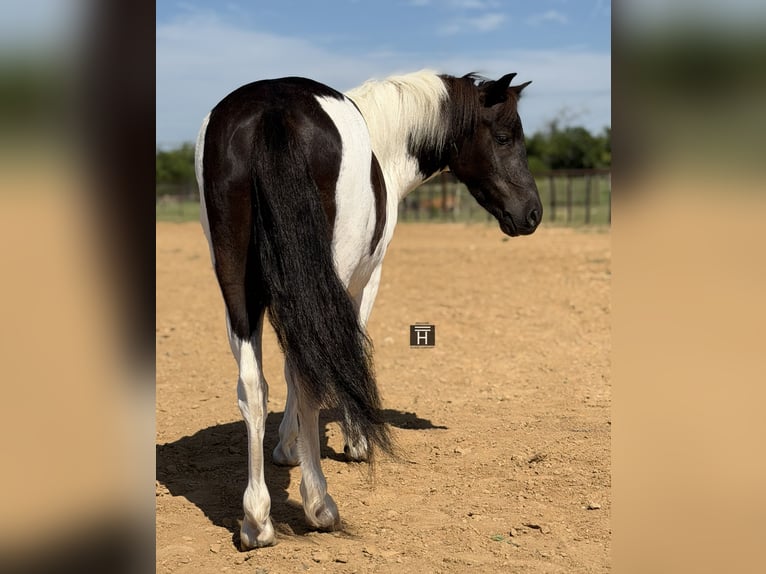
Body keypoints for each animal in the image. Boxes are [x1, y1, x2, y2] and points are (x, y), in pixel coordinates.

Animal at [194, 70, 542, 549]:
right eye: (505, 137)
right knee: (310, 373)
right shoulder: (365, 282)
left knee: (253, 385)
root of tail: (272, 109)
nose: (533, 214)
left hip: (236, 287)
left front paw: (287, 447)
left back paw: (256, 522)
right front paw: (356, 442)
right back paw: (319, 506)